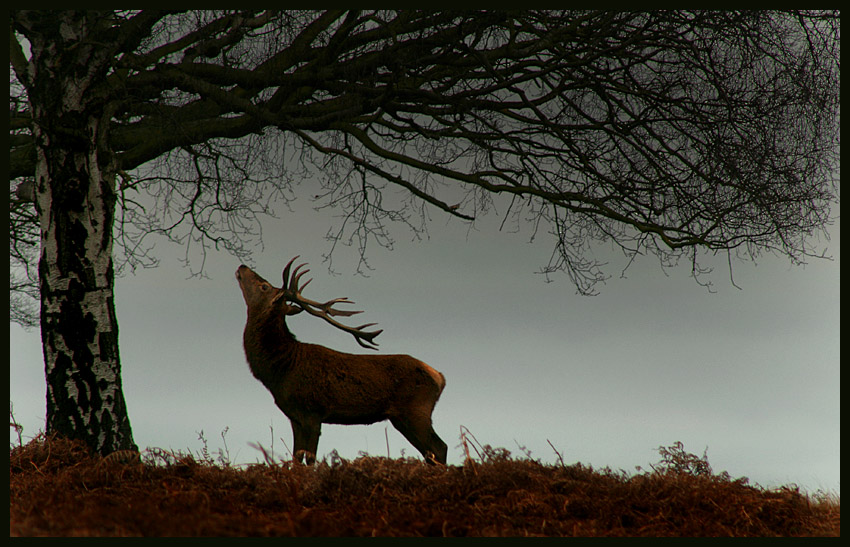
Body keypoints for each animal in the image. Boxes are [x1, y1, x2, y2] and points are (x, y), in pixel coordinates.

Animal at [232, 260, 444, 464]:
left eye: (264, 286)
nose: (242, 266)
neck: (281, 369)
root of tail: (439, 377)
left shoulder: (313, 412)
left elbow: (310, 458)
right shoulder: (295, 416)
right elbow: (296, 457)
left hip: (416, 411)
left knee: (439, 448)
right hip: (403, 417)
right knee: (432, 452)